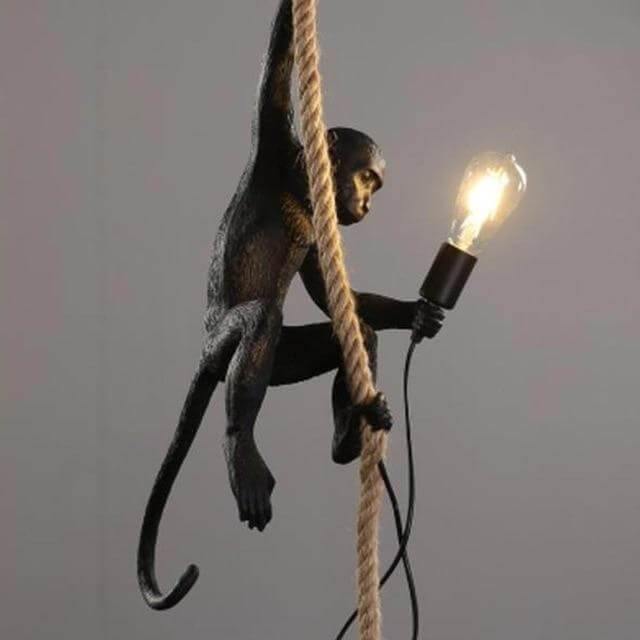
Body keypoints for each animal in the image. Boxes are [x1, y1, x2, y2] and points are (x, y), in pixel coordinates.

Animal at [137, 0, 443, 611]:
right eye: (367, 176)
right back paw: (241, 451)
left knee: (353, 334)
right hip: (224, 345)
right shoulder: (274, 142)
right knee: (261, 320)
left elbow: (340, 299)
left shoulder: (319, 232)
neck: (303, 185)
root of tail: (206, 359)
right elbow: (273, 77)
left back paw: (351, 435)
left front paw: (416, 312)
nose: (367, 204)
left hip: (284, 361)